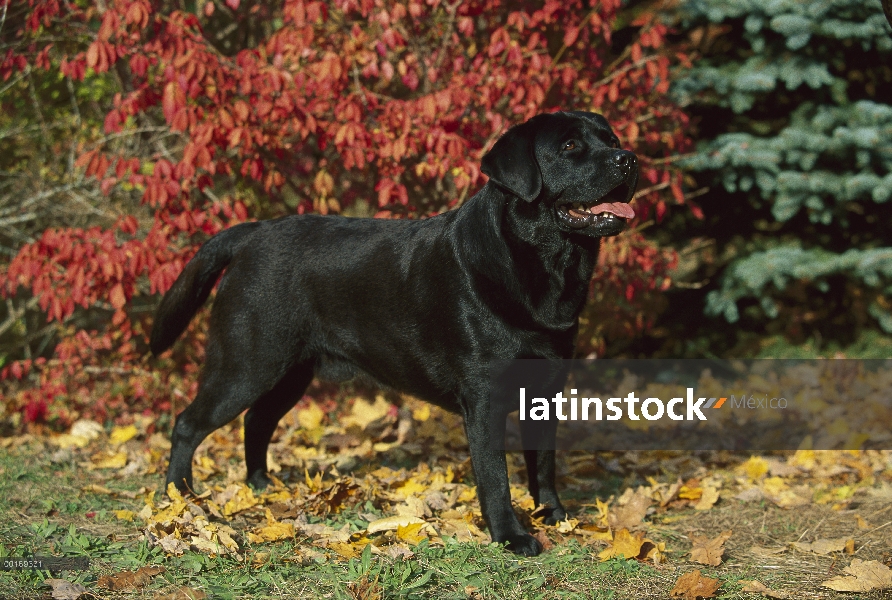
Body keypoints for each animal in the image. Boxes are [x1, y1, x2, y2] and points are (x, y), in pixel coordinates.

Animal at [152, 110, 640, 556]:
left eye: (611, 139)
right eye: (570, 146)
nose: (629, 159)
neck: (545, 269)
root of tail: (253, 233)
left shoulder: (546, 390)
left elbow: (545, 463)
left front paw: (554, 516)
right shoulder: (484, 396)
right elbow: (495, 475)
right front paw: (511, 536)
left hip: (290, 371)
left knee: (256, 420)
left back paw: (260, 484)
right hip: (246, 362)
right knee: (188, 424)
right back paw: (180, 497)